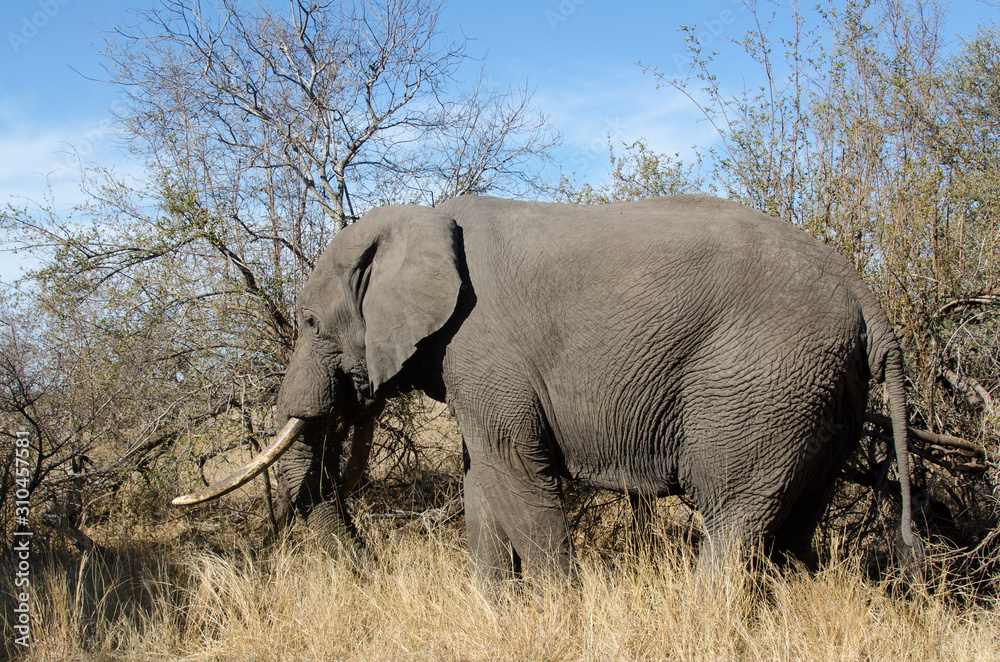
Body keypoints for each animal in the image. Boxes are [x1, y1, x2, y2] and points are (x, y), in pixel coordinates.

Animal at [174, 196, 920, 580]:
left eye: (307, 322)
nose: (374, 570)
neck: (418, 218)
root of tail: (863, 290)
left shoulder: (483, 344)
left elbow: (515, 472)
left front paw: (560, 606)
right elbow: (481, 480)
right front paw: (496, 607)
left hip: (760, 382)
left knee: (734, 513)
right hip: (819, 389)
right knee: (796, 522)